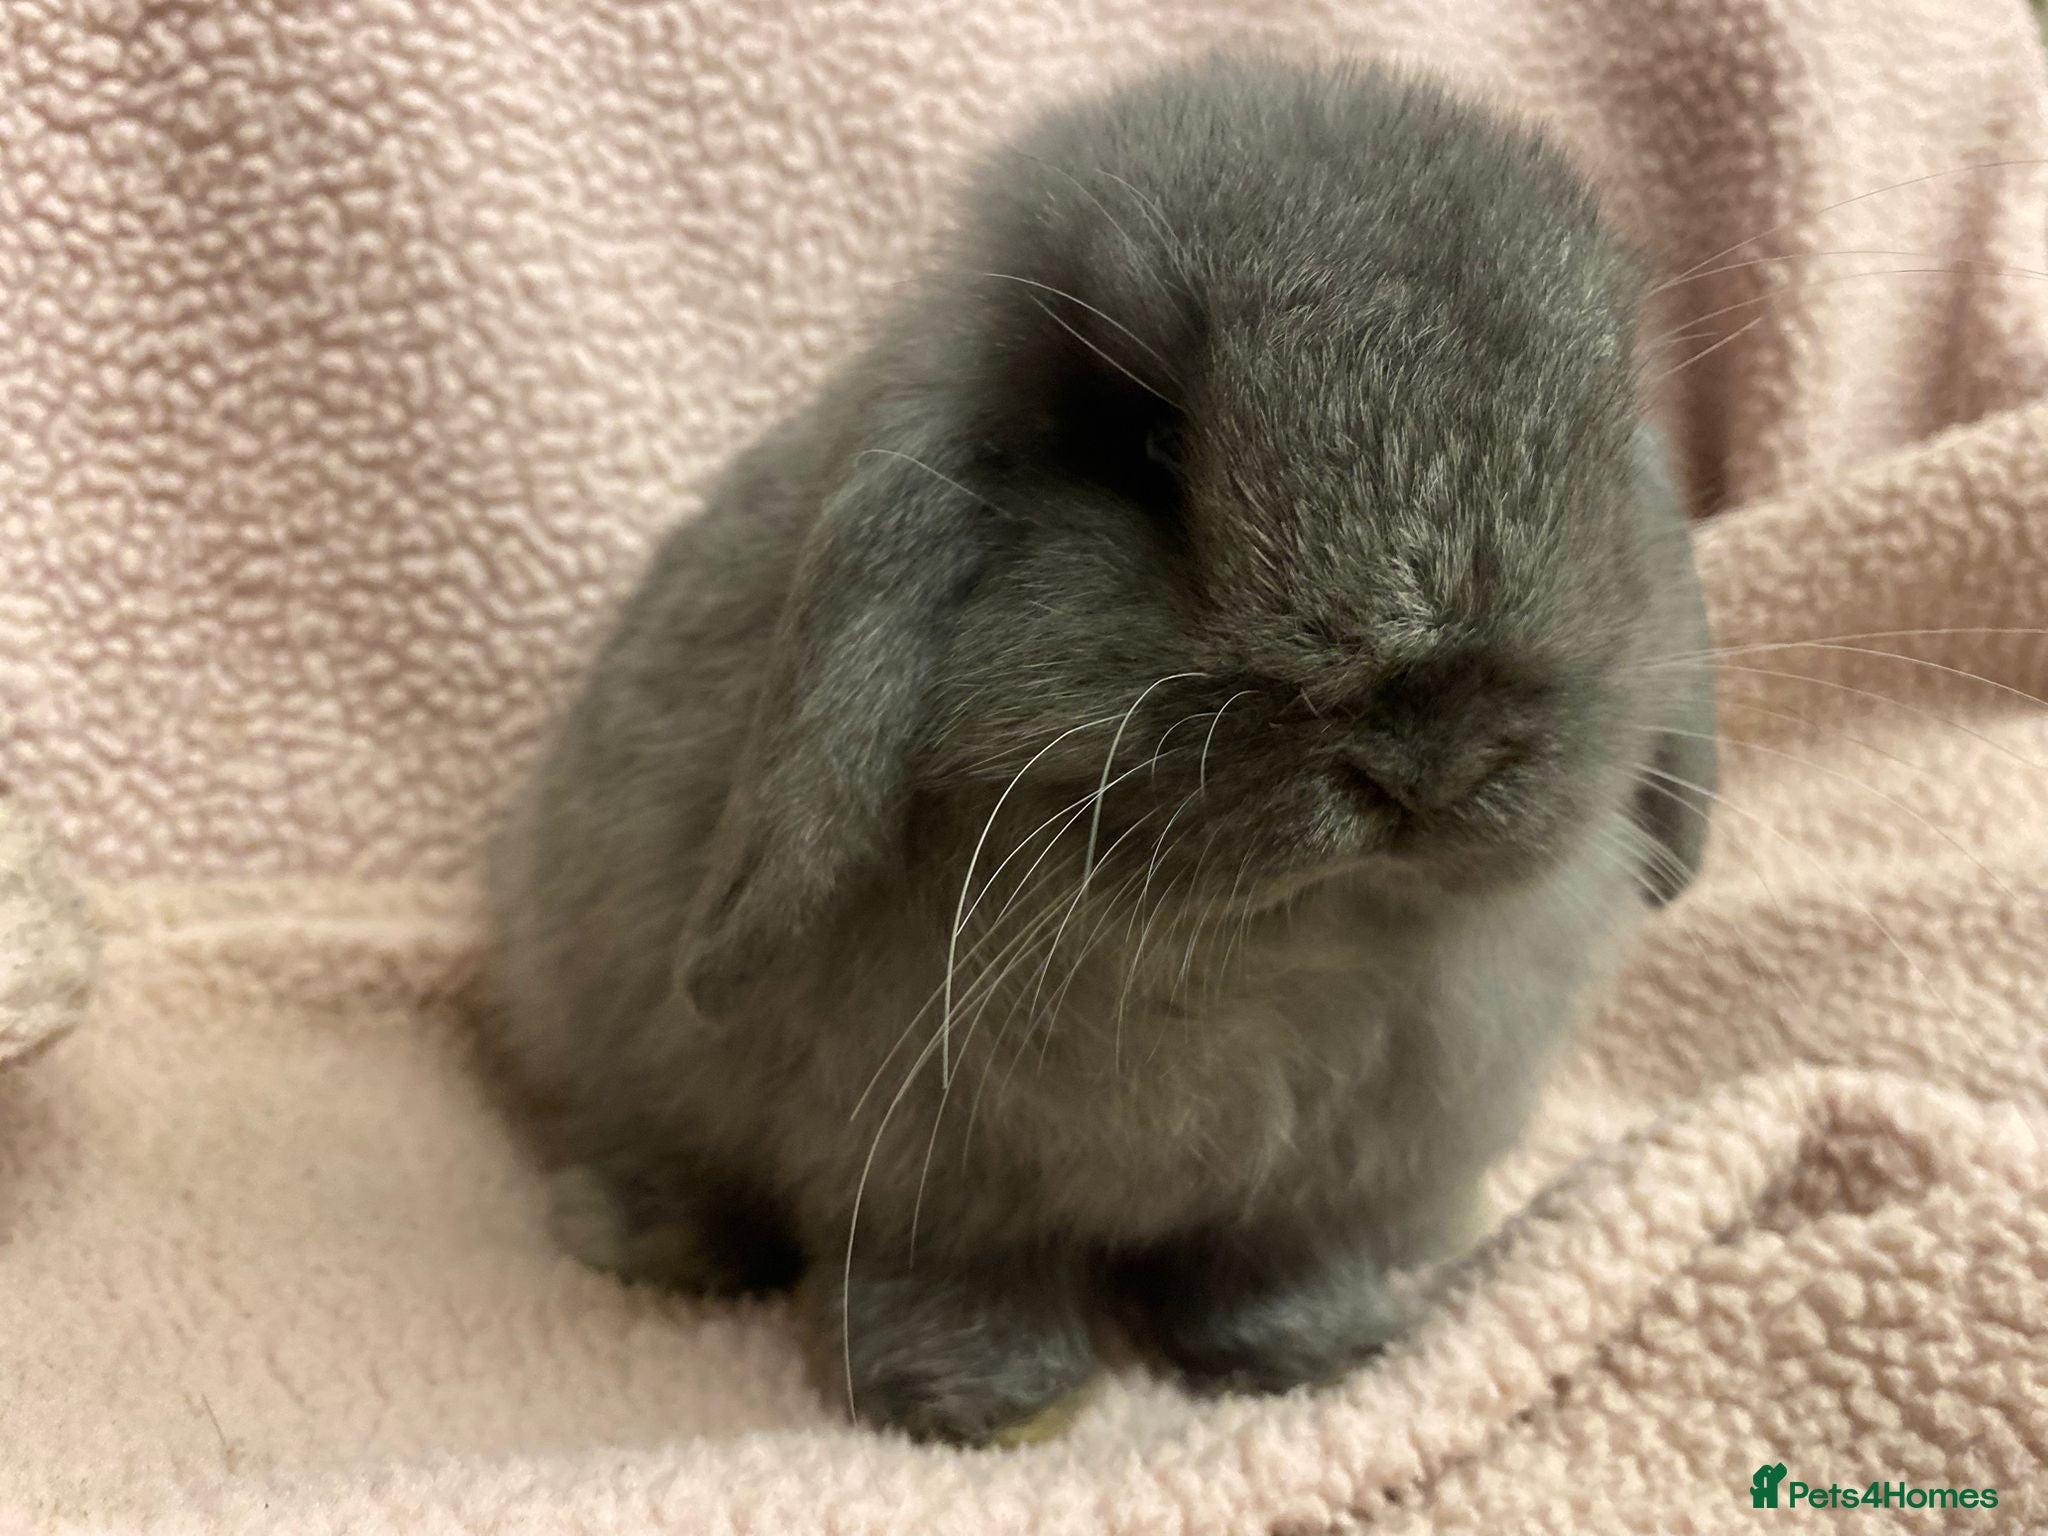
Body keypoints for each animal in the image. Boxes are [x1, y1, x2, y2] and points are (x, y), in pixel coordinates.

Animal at [482, 52, 1718, 1447]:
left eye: (1603, 440)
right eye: (1148, 447)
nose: (1430, 754)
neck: (1290, 933)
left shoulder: (1329, 1167)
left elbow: (1277, 1263)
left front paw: (1330, 1360)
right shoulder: (923, 1158)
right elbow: (951, 1273)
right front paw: (989, 1412)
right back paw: (642, 1237)